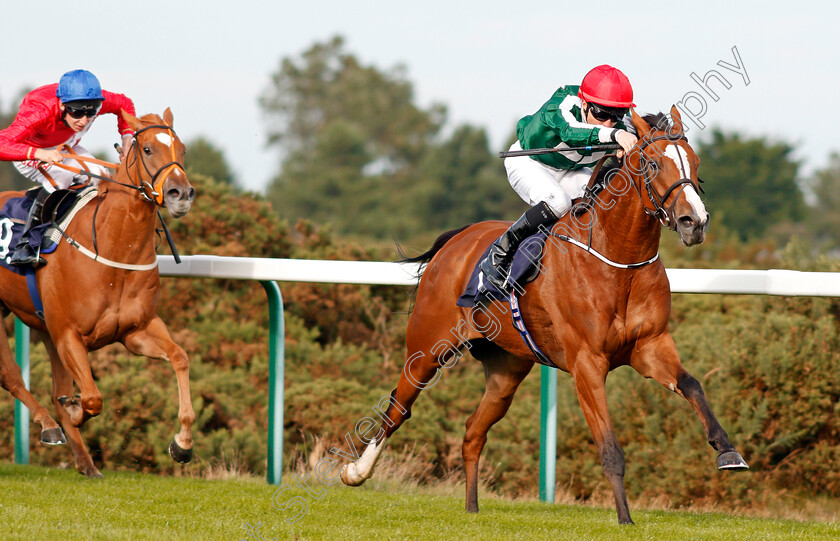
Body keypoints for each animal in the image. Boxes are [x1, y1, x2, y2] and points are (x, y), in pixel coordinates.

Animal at [0, 108, 196, 476]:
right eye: (147, 149)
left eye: (183, 148)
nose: (181, 193)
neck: (114, 248)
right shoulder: (69, 334)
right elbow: (92, 398)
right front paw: (73, 410)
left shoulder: (136, 331)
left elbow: (180, 357)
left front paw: (183, 443)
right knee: (12, 376)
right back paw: (50, 426)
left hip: (44, 327)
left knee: (53, 387)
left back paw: (86, 462)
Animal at [342, 105, 748, 524]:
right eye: (652, 164)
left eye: (695, 163)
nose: (694, 222)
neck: (619, 260)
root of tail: (455, 240)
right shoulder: (587, 362)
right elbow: (610, 448)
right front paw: (625, 518)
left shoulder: (650, 346)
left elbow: (692, 385)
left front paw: (728, 451)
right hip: (426, 348)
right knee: (399, 407)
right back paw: (357, 471)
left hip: (506, 370)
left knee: (472, 432)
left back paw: (471, 508)